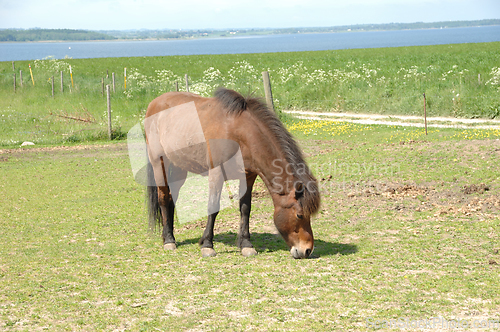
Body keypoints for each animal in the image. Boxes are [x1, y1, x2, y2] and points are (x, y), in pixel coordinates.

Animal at [145, 87, 320, 258]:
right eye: (299, 215)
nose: (307, 250)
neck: (238, 131)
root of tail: (153, 104)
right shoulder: (216, 173)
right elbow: (213, 206)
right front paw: (207, 245)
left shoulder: (249, 176)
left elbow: (245, 208)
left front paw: (246, 245)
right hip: (159, 163)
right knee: (163, 198)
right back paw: (169, 240)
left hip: (179, 167)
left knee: (171, 197)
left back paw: (169, 236)